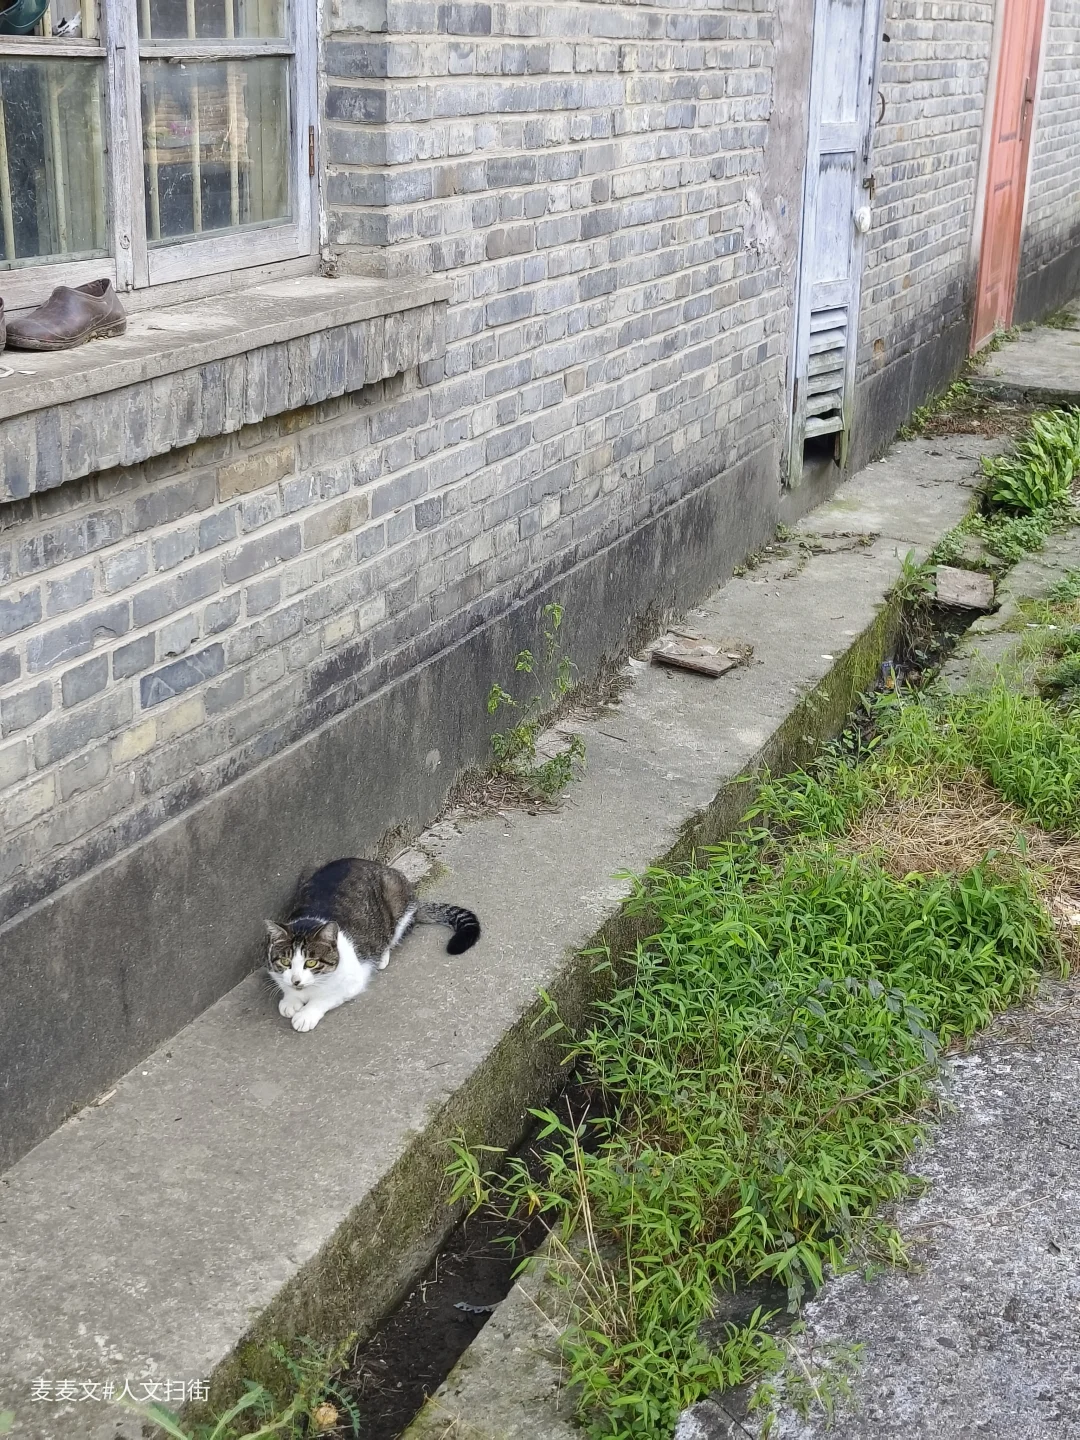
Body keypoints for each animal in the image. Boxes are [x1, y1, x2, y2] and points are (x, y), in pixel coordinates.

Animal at [266, 857, 481, 1032]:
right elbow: (284, 985)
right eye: (285, 962)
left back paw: (382, 957)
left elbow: (325, 997)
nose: (296, 981)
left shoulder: (353, 980)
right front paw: (290, 1000)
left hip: (396, 903)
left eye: (311, 962)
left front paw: (305, 1015)